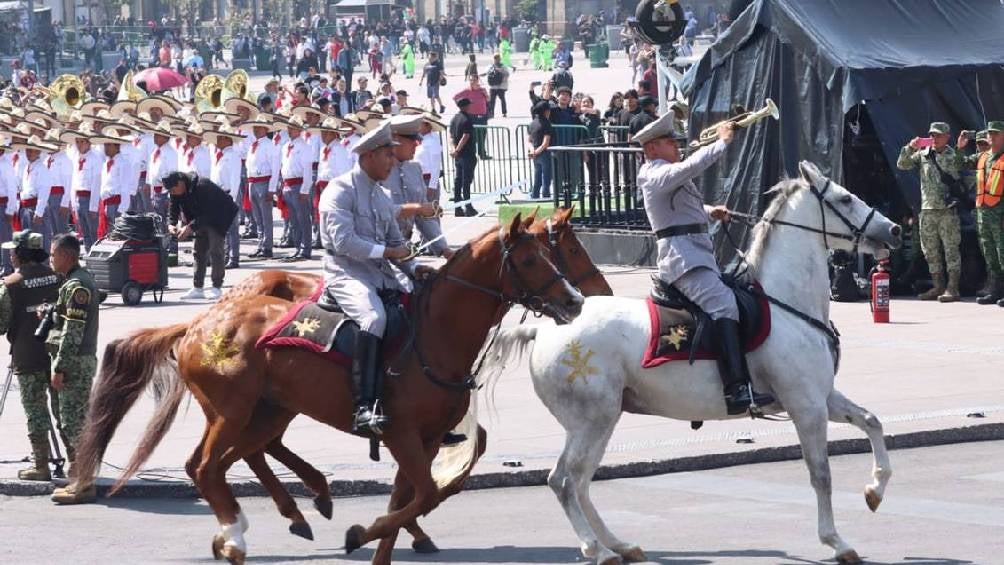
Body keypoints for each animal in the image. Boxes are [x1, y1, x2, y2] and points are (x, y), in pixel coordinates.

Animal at [74, 214, 586, 561]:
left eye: (552, 254)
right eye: (529, 259)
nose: (575, 301)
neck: (434, 333)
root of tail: (201, 322)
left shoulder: (426, 439)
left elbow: (412, 498)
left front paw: (382, 541)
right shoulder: (400, 434)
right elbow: (423, 494)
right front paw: (362, 534)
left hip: (266, 410)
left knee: (232, 460)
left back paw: (297, 508)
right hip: (232, 411)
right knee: (205, 467)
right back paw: (239, 533)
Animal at [489, 162, 907, 565]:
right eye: (845, 198)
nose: (895, 228)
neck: (787, 305)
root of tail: (544, 330)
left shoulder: (823, 397)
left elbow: (871, 421)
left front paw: (875, 489)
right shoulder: (805, 406)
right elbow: (821, 474)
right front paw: (836, 540)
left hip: (602, 420)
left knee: (581, 481)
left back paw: (618, 544)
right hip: (590, 422)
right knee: (564, 480)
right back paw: (597, 549)